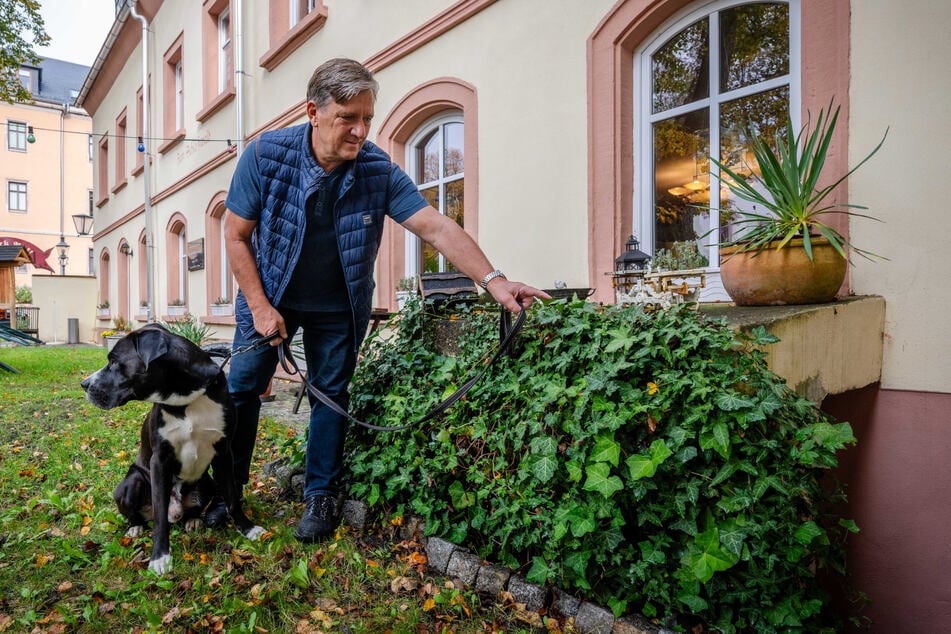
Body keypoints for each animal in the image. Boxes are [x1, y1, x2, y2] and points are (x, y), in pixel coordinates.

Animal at [78, 324, 262, 576]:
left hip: (207, 482)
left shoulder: (224, 453)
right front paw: (160, 557)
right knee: (139, 513)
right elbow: (159, 516)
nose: (84, 384)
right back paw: (135, 527)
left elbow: (233, 498)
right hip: (132, 481)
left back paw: (193, 520)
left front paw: (247, 528)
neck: (185, 399)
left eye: (115, 362)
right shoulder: (159, 461)